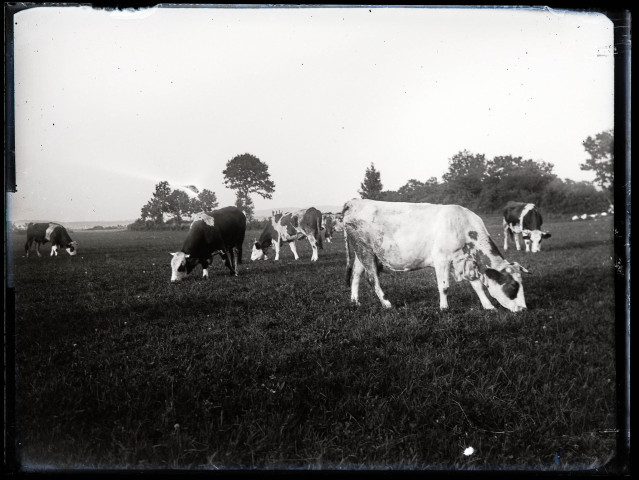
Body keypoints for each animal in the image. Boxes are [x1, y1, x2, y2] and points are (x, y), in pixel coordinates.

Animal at [344, 198, 528, 314]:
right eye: (513, 286)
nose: (524, 309)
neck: (462, 226)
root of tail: (354, 202)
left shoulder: (464, 261)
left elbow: (477, 286)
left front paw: (488, 306)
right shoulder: (441, 259)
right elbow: (444, 286)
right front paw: (444, 308)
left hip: (362, 252)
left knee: (356, 275)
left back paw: (355, 301)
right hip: (365, 249)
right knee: (372, 278)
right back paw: (387, 303)